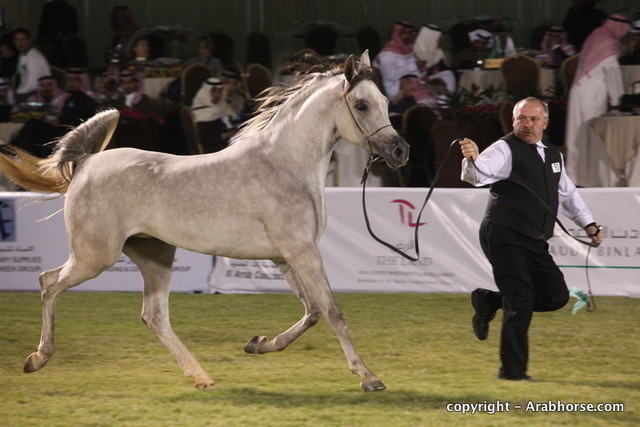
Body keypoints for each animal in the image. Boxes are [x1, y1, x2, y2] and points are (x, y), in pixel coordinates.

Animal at [0, 50, 409, 392]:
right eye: (361, 104)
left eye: (386, 102)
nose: (400, 151)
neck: (284, 164)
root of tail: (86, 165)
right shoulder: (302, 252)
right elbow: (332, 312)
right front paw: (369, 378)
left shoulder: (285, 256)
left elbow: (311, 312)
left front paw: (258, 344)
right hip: (94, 256)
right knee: (48, 282)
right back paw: (37, 358)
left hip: (154, 255)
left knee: (154, 316)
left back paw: (201, 377)